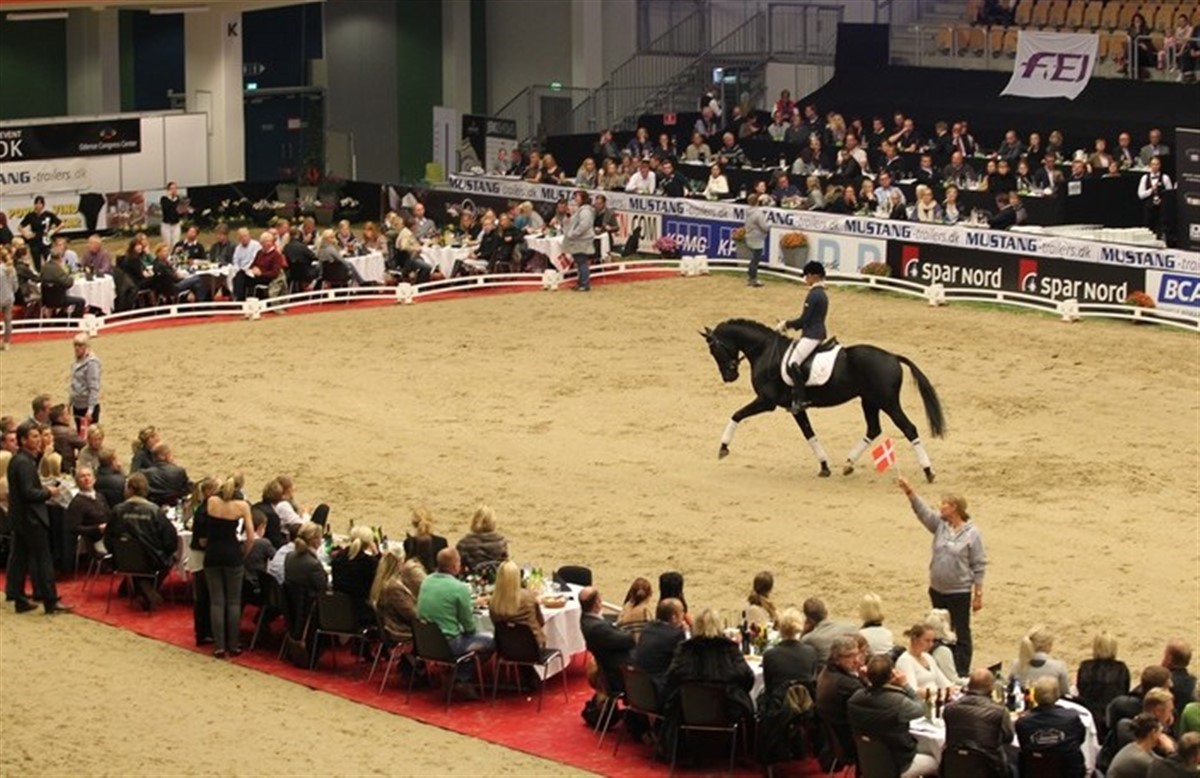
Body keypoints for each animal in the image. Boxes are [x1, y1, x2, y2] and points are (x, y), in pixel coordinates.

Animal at [701, 318, 946, 482]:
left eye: (714, 350)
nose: (729, 376)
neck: (765, 350)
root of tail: (893, 357)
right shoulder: (795, 408)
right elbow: (809, 434)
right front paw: (825, 466)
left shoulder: (767, 401)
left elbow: (736, 415)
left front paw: (723, 448)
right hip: (870, 401)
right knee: (873, 429)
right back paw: (848, 465)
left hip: (888, 402)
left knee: (909, 428)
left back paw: (929, 471)